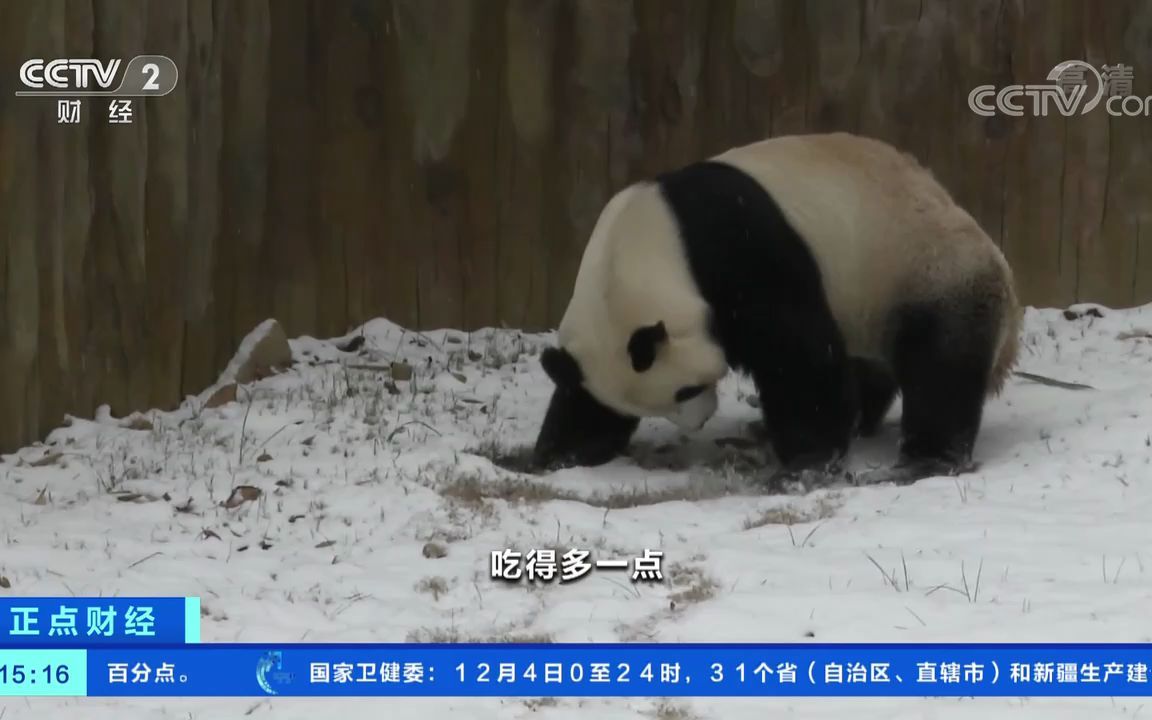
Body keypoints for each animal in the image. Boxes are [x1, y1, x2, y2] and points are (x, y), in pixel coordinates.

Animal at [529, 131, 1018, 486]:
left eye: (684, 391)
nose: (698, 422)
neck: (651, 245)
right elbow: (583, 392)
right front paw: (560, 454)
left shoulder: (739, 249)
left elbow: (794, 352)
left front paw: (805, 465)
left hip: (930, 269)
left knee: (942, 364)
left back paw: (926, 460)